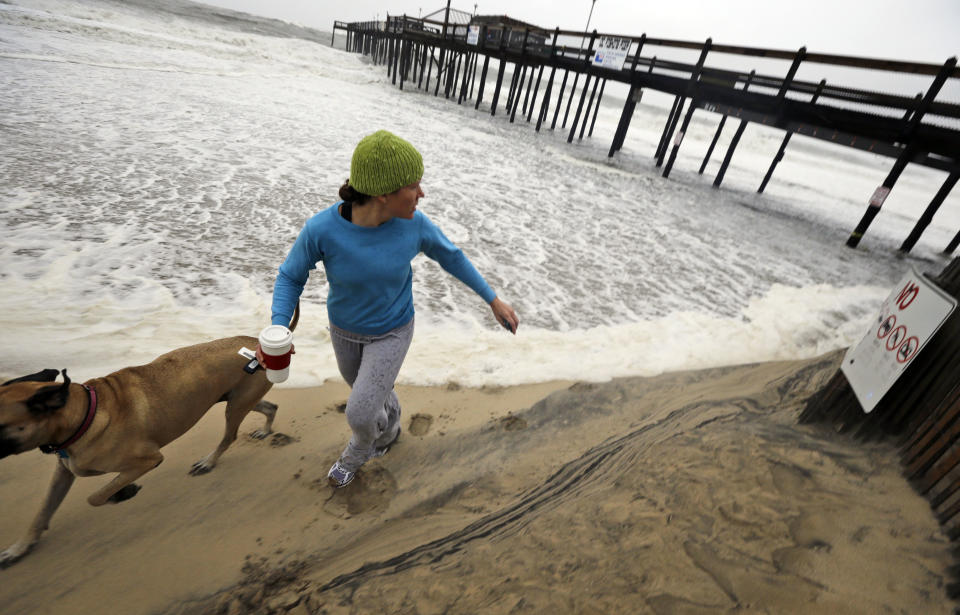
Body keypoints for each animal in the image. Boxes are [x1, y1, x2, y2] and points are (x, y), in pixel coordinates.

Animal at [0, 308, 296, 568]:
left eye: (0, 424)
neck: (84, 413)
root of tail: (256, 344)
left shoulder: (147, 460)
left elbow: (96, 496)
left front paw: (122, 493)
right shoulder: (63, 471)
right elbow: (42, 511)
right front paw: (19, 548)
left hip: (236, 405)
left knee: (229, 436)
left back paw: (209, 462)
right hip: (237, 398)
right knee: (270, 407)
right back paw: (265, 429)